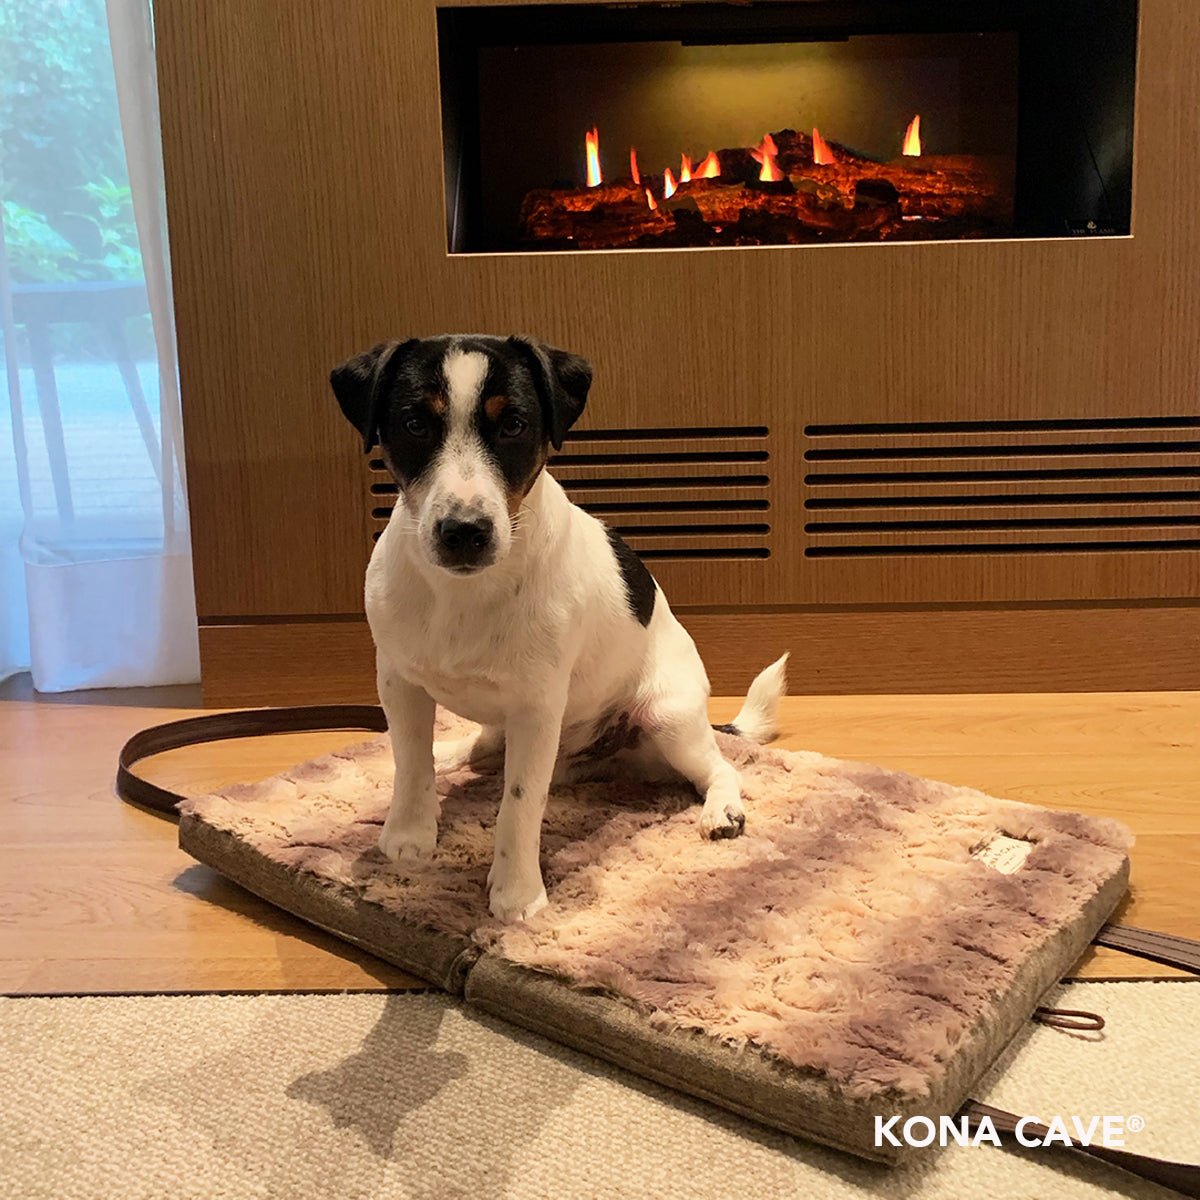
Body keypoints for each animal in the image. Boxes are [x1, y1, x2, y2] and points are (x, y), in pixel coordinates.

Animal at [333, 333, 787, 921]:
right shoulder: (400, 683)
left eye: (513, 425)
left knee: (719, 768)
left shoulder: (536, 708)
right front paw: (410, 835)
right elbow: (411, 764)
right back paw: (454, 754)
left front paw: (517, 891)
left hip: (666, 718)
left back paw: (722, 810)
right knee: (479, 750)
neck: (464, 593)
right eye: (414, 423)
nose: (464, 532)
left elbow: (521, 805)